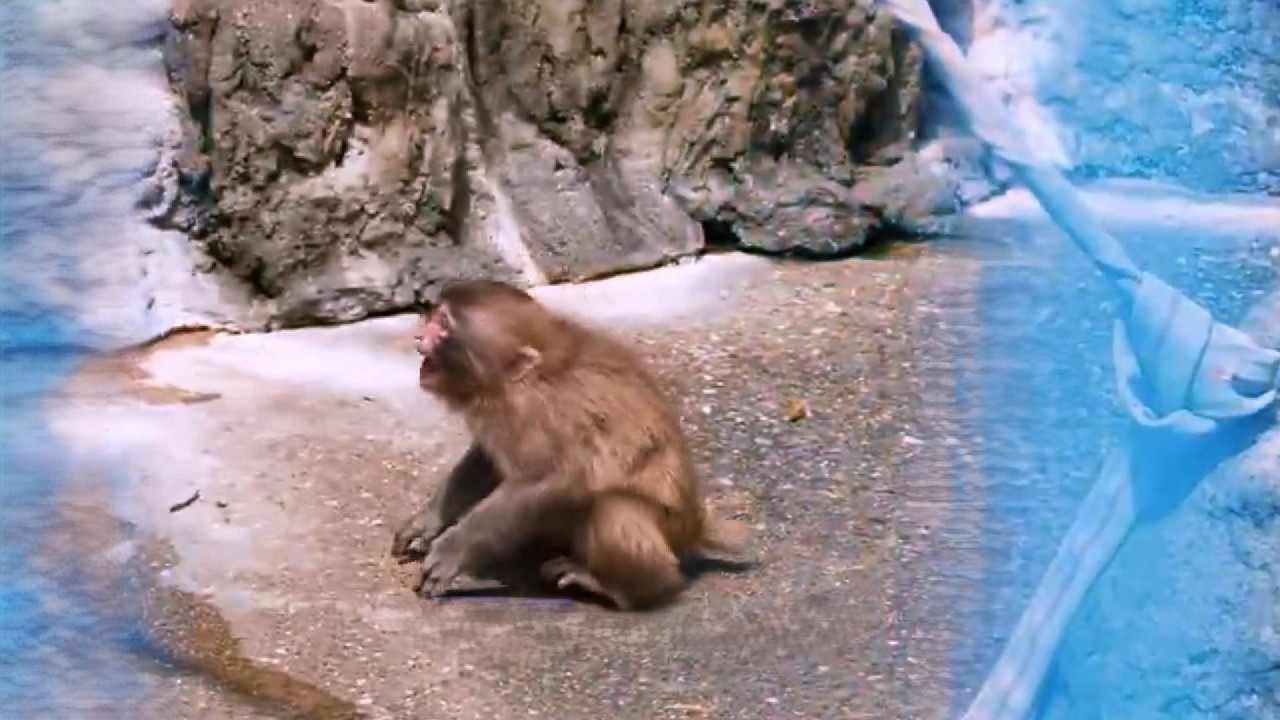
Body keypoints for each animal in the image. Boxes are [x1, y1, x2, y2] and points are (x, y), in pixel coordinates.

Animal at [390, 279, 748, 610]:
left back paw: (620, 588)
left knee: (613, 507)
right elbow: (487, 462)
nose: (419, 336)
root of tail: (695, 525)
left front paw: (454, 549)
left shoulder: (540, 413)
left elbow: (543, 478)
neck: (521, 380)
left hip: (668, 530)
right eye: (435, 315)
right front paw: (428, 524)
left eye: (444, 323)